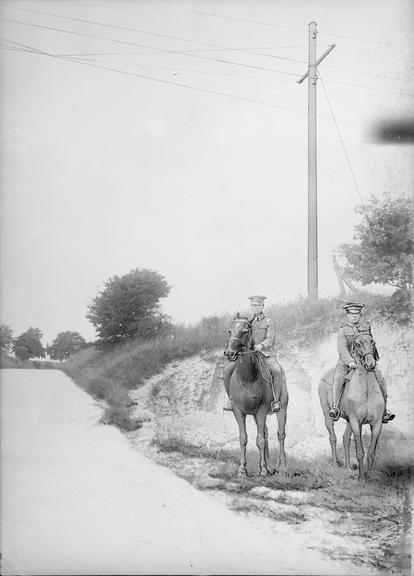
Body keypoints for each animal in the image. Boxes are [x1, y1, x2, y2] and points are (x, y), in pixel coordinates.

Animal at [223, 316, 288, 476]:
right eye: (229, 331)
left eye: (244, 332)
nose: (229, 353)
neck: (246, 378)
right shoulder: (238, 411)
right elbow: (243, 438)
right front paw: (242, 469)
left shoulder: (262, 410)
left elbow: (260, 440)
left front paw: (263, 470)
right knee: (266, 432)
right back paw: (271, 466)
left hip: (282, 410)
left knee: (280, 435)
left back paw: (282, 468)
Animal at [320, 330, 384, 480]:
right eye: (358, 344)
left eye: (373, 342)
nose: (370, 364)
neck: (366, 391)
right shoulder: (356, 422)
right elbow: (360, 451)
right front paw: (361, 478)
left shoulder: (377, 424)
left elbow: (371, 452)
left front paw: (369, 475)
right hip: (327, 415)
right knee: (333, 438)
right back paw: (335, 466)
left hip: (348, 421)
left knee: (345, 439)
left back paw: (348, 468)